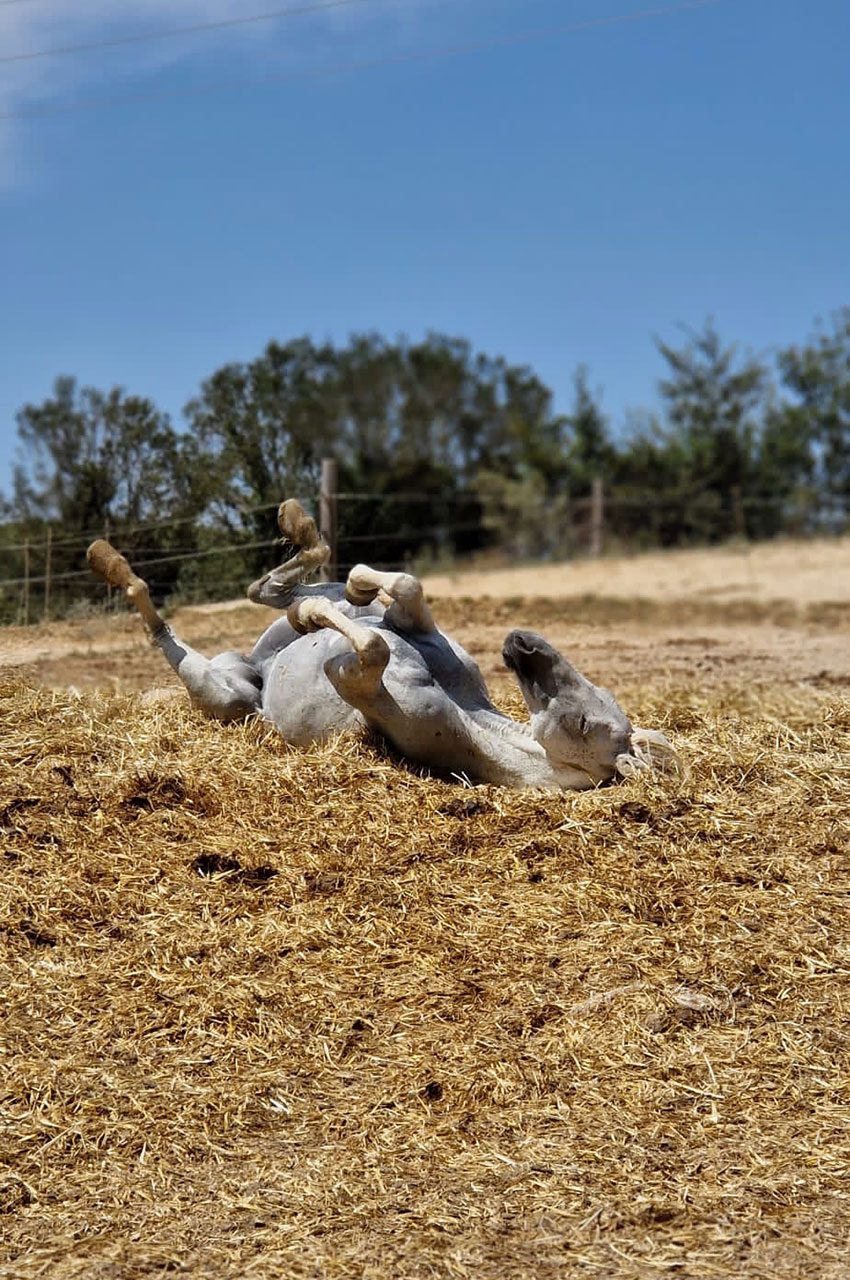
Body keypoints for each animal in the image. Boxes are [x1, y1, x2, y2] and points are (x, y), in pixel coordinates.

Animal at [84, 499, 670, 788]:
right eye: (599, 697)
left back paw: (110, 562)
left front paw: (315, 615)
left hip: (225, 696)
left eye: (583, 724)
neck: (473, 716)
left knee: (164, 622)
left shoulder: (357, 679)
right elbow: (403, 588)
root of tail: (253, 668)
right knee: (272, 587)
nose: (523, 642)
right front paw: (347, 593)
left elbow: (372, 648)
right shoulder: (415, 622)